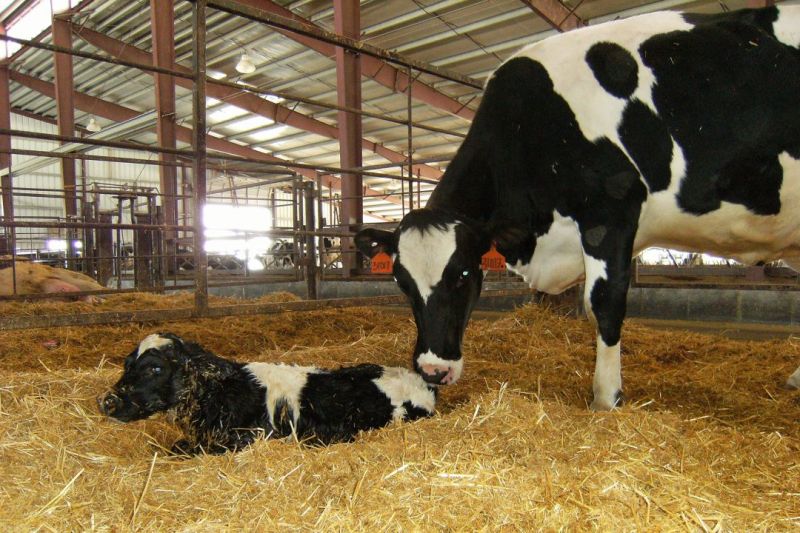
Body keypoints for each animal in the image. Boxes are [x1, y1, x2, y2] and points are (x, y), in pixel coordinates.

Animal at [355, 4, 800, 410]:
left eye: (464, 272)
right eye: (401, 281)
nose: (433, 370)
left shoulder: (613, 210)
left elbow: (603, 302)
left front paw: (606, 398)